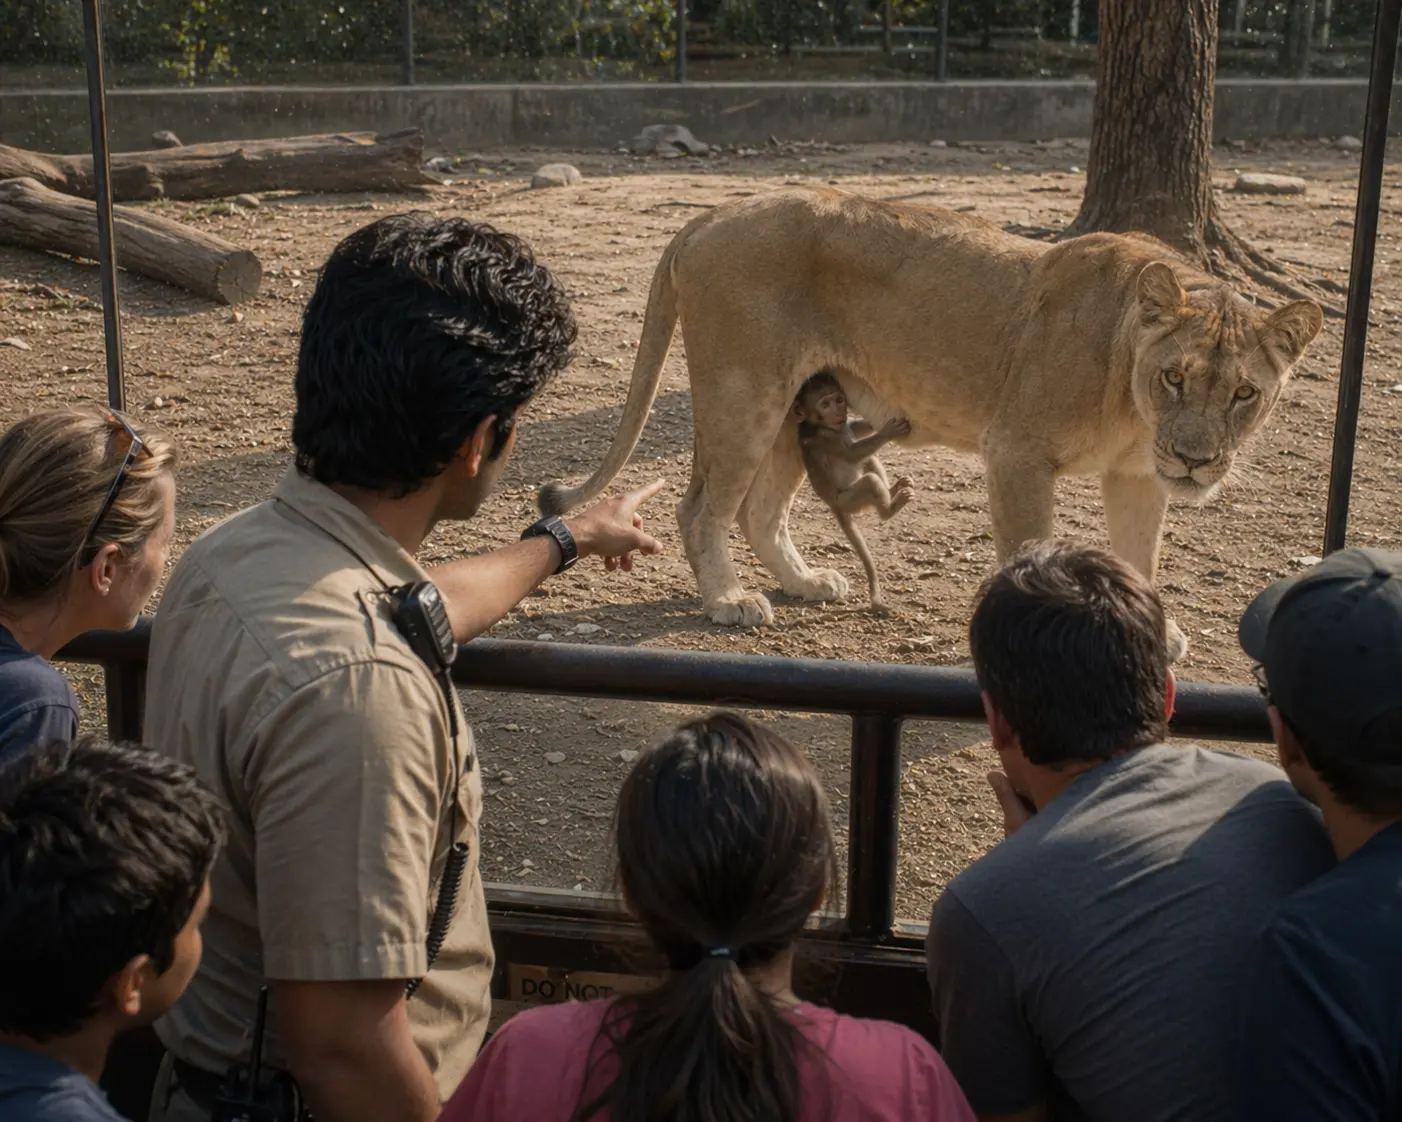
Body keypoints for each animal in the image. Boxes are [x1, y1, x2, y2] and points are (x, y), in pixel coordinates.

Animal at [792, 371, 914, 613]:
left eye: (839, 399)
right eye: (825, 404)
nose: (838, 411)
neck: (824, 425)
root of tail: (832, 504)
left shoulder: (843, 426)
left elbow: (858, 429)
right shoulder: (827, 438)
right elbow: (852, 453)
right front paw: (888, 432)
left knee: (869, 460)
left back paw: (892, 489)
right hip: (848, 500)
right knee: (869, 481)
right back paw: (889, 509)